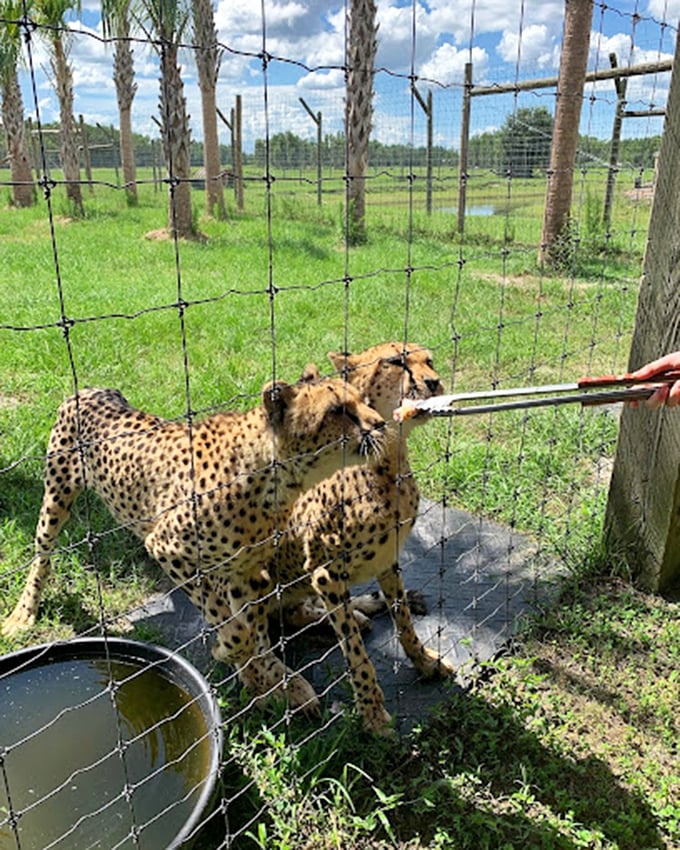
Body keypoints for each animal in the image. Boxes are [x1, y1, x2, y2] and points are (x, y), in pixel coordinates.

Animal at [1, 378, 388, 708]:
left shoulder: (247, 571)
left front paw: (266, 677)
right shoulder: (171, 551)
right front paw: (250, 669)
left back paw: (359, 607)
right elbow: (237, 629)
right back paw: (22, 614)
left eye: (361, 400)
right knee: (42, 555)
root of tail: (94, 389)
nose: (382, 423)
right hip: (56, 496)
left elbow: (253, 628)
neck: (275, 476)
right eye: (337, 410)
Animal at [268, 342, 454, 732]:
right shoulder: (324, 574)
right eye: (395, 362)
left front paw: (424, 661)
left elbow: (404, 621)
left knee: (297, 611)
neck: (387, 460)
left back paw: (364, 607)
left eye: (429, 360)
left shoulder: (387, 558)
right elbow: (356, 652)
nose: (433, 382)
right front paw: (372, 714)